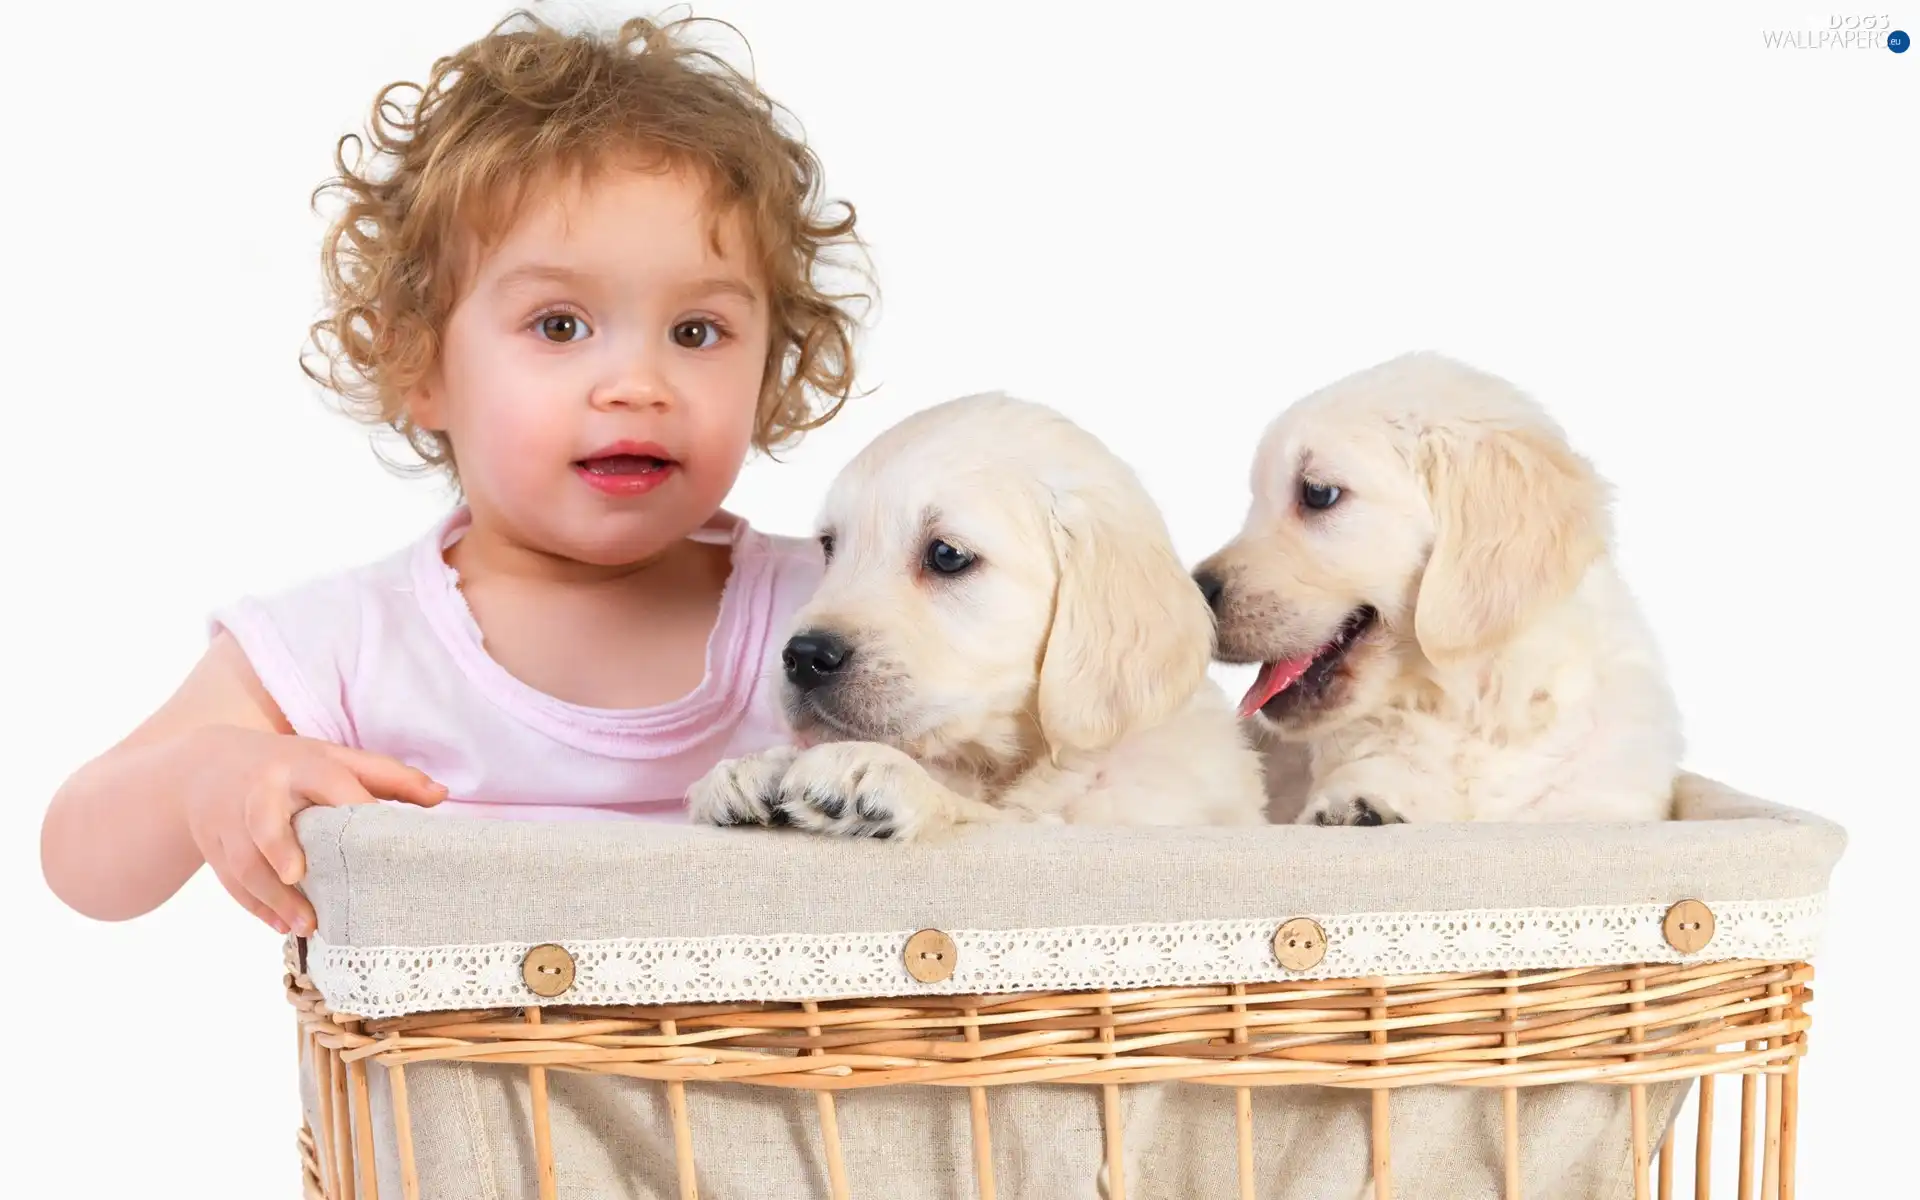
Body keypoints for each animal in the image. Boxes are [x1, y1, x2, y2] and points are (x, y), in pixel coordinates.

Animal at [695, 391, 1274, 833]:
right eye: (829, 547)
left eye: (947, 555)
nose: (804, 656)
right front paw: (753, 769)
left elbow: (999, 818)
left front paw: (882, 773)